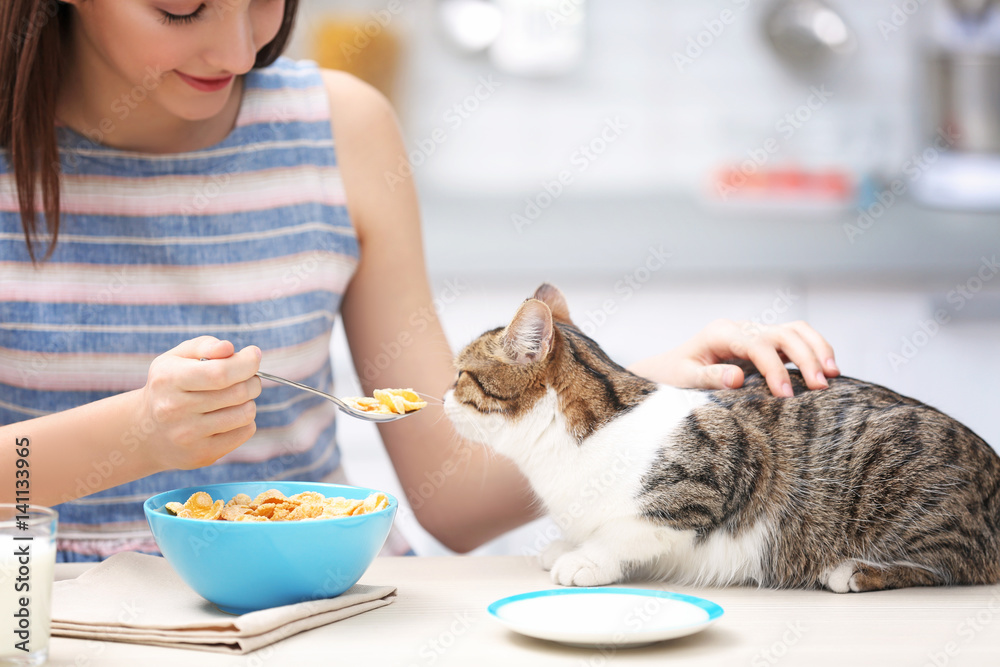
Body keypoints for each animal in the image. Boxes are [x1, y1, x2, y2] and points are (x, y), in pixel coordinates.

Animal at [444, 284, 1000, 592]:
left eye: (462, 375)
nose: (442, 396)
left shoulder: (722, 466)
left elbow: (629, 529)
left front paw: (586, 558)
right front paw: (567, 543)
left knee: (961, 562)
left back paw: (858, 571)